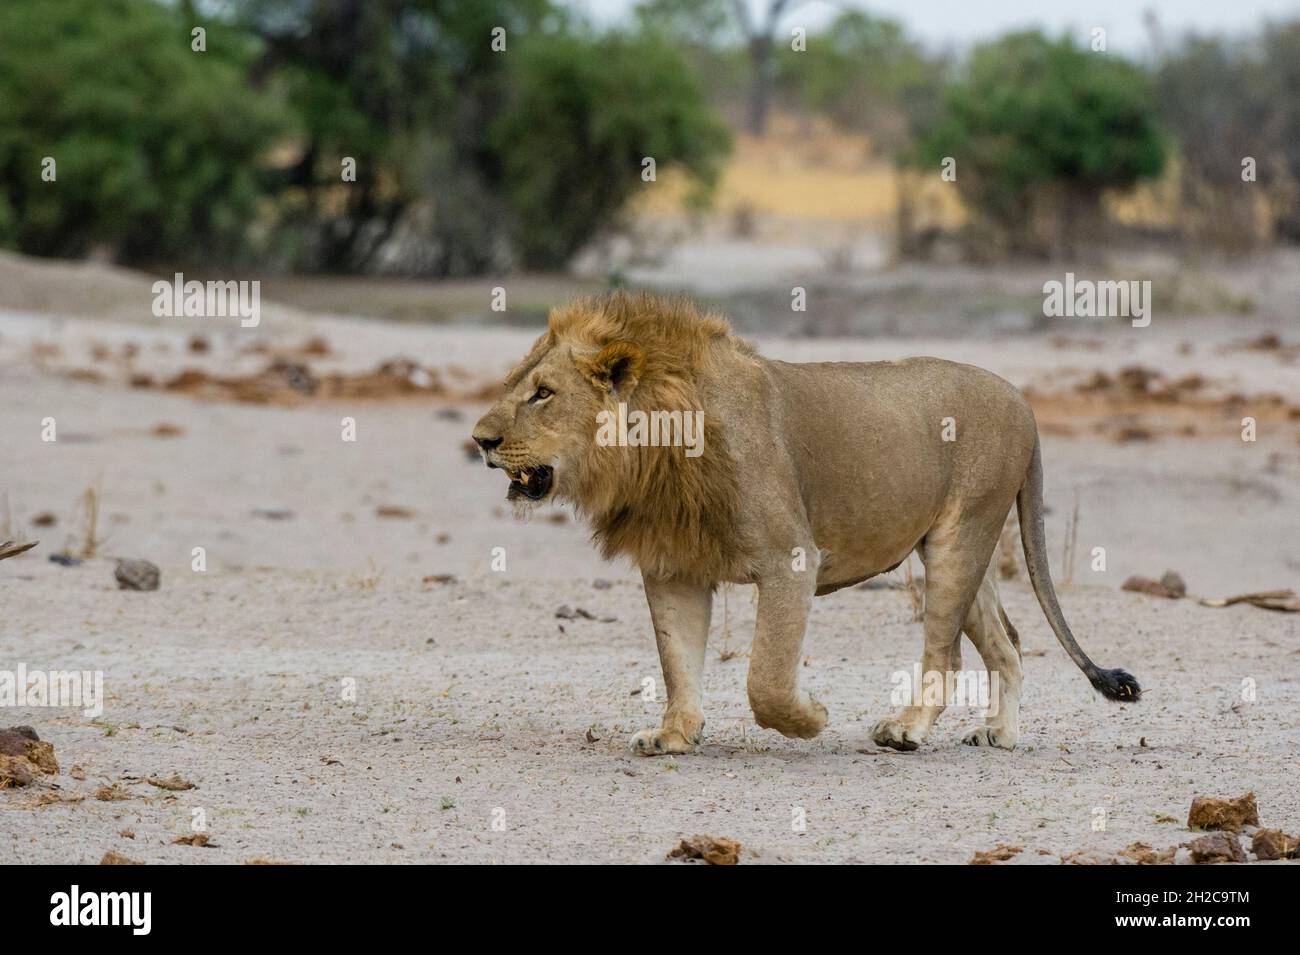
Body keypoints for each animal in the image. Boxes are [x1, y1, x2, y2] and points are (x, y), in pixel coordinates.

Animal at [472, 292, 1140, 755]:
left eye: (543, 393)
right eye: (516, 385)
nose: (480, 440)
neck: (655, 448)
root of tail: (1022, 400)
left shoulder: (791, 557)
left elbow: (766, 677)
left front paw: (811, 716)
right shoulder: (673, 566)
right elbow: (678, 660)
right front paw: (675, 735)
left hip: (962, 536)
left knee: (945, 654)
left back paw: (905, 730)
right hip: (957, 547)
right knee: (1008, 642)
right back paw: (999, 732)